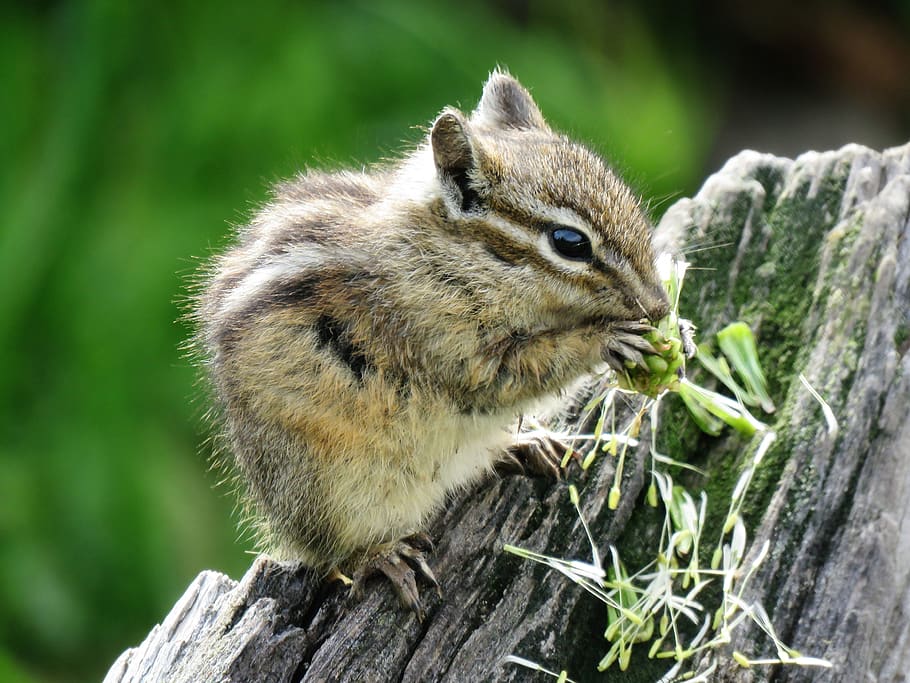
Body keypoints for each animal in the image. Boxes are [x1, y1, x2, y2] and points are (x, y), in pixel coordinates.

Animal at [193, 70, 669, 618]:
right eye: (570, 243)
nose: (660, 306)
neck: (452, 256)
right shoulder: (447, 344)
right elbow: (517, 373)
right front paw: (609, 339)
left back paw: (524, 445)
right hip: (329, 491)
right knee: (335, 555)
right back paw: (382, 557)